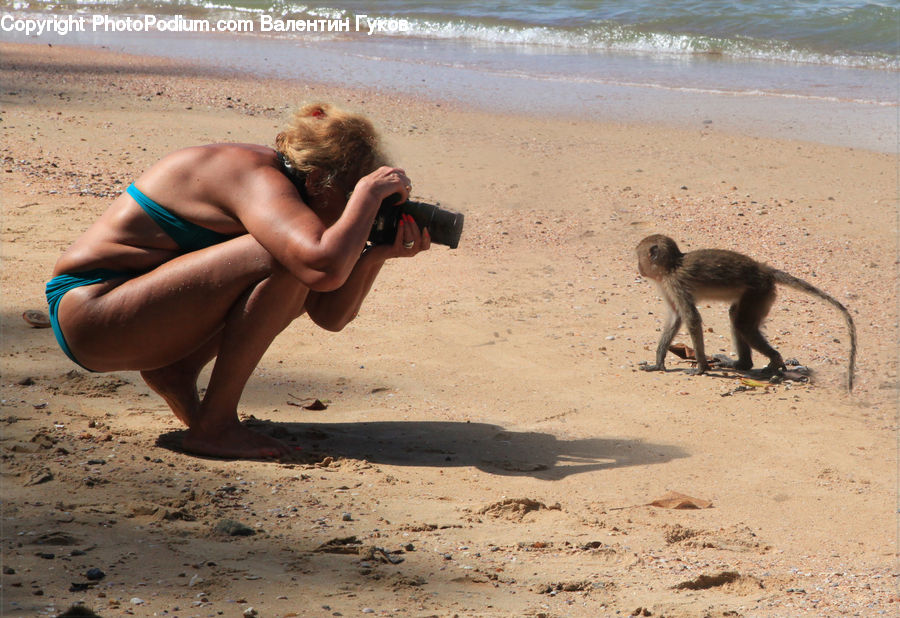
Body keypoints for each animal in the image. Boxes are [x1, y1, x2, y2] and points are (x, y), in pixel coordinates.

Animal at [635, 234, 857, 392]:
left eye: (639, 256)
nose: (639, 268)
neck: (671, 266)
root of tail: (764, 270)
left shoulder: (675, 284)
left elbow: (692, 319)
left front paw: (701, 368)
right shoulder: (667, 285)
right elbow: (676, 317)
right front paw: (659, 362)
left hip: (759, 291)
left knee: (742, 323)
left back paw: (774, 360)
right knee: (736, 317)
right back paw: (743, 363)